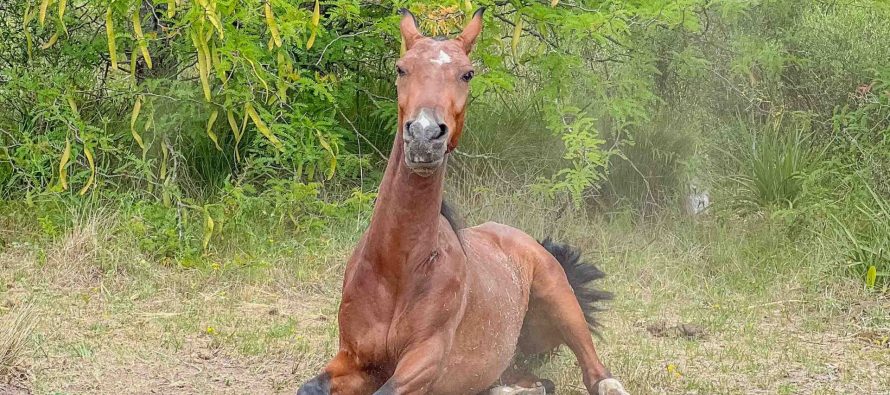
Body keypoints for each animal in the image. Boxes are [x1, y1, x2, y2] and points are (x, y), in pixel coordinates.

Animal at [296, 8, 624, 395]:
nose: (424, 137)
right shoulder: (354, 357)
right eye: (401, 68)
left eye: (467, 73)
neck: (396, 269)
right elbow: (309, 387)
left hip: (561, 300)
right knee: (533, 382)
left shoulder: (426, 361)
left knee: (596, 375)